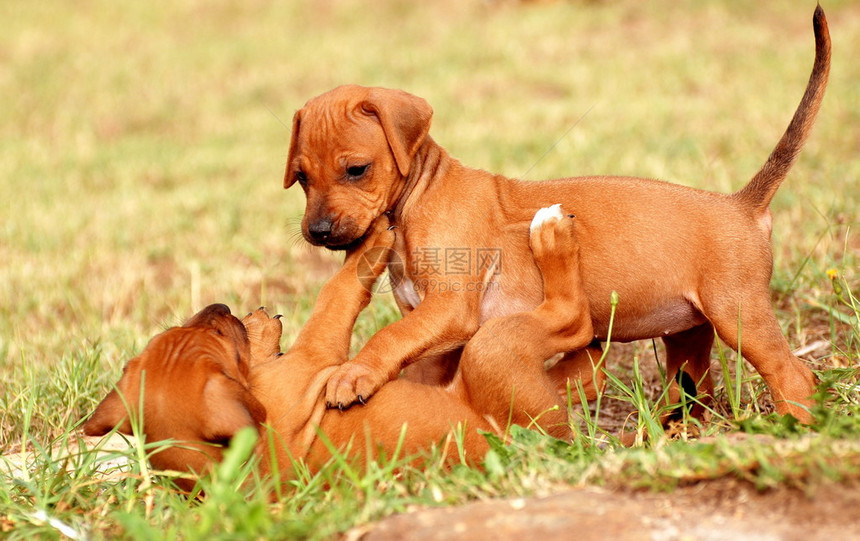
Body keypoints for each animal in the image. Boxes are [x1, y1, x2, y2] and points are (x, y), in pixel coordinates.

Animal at [82, 210, 592, 490]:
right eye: (219, 339)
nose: (221, 308)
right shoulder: (316, 358)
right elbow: (335, 295)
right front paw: (372, 240)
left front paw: (258, 329)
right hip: (495, 352)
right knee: (571, 321)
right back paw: (551, 236)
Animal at [284, 8, 832, 422]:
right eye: (302, 178)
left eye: (356, 170)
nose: (318, 232)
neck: (416, 198)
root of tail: (742, 203)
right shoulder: (433, 331)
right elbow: (416, 360)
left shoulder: (449, 309)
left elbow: (389, 336)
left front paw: (354, 372)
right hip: (688, 333)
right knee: (695, 391)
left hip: (738, 315)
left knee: (793, 375)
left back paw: (792, 427)